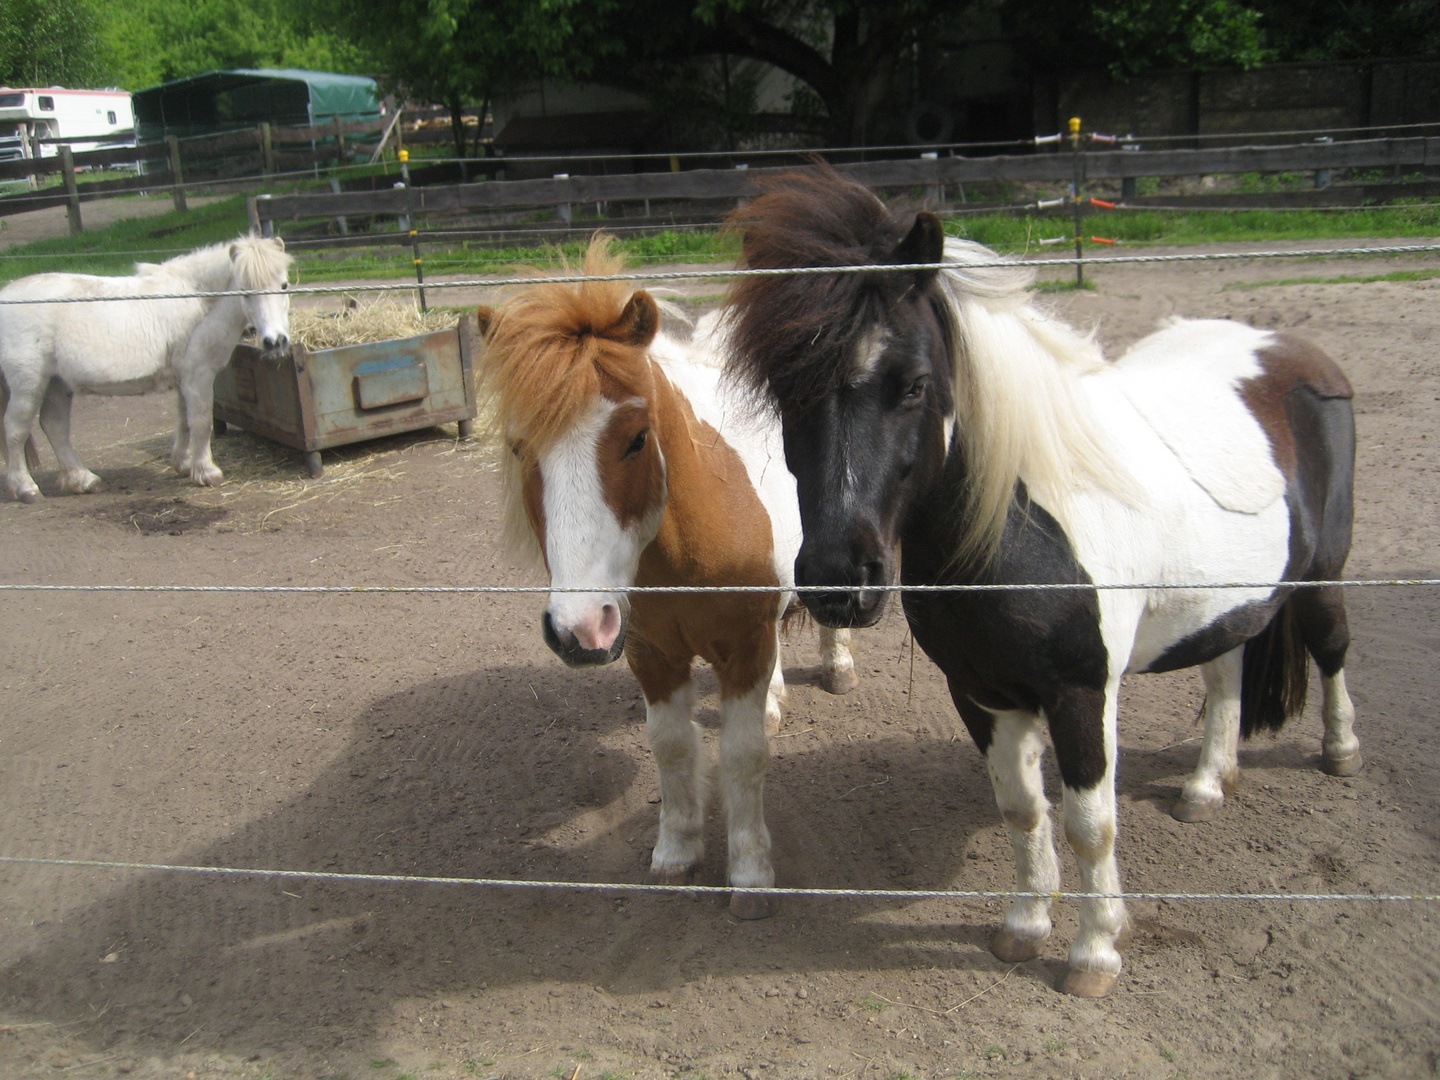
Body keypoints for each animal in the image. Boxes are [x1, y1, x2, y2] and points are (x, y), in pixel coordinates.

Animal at [0, 233, 292, 504]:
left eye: (284, 285)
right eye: (245, 290)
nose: (275, 342)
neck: (197, 301)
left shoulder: (184, 379)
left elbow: (184, 421)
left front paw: (184, 464)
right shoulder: (198, 376)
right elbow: (200, 422)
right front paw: (207, 472)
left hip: (57, 383)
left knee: (55, 426)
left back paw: (83, 479)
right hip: (29, 385)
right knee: (15, 429)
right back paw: (26, 489)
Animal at [478, 240, 852, 915]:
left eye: (636, 438)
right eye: (520, 448)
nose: (579, 629)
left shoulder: (744, 646)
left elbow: (743, 755)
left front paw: (750, 875)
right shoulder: (652, 653)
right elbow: (671, 746)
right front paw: (675, 853)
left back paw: (839, 666)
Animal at [720, 167, 1359, 996]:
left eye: (913, 385)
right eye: (783, 390)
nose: (838, 580)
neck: (1020, 530)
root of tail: (1291, 349)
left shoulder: (1082, 693)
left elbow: (1090, 822)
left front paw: (1095, 953)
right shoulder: (983, 692)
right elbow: (1022, 809)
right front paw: (1024, 928)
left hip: (1323, 576)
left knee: (1333, 647)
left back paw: (1340, 752)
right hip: (1226, 605)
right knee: (1225, 677)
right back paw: (1206, 785)